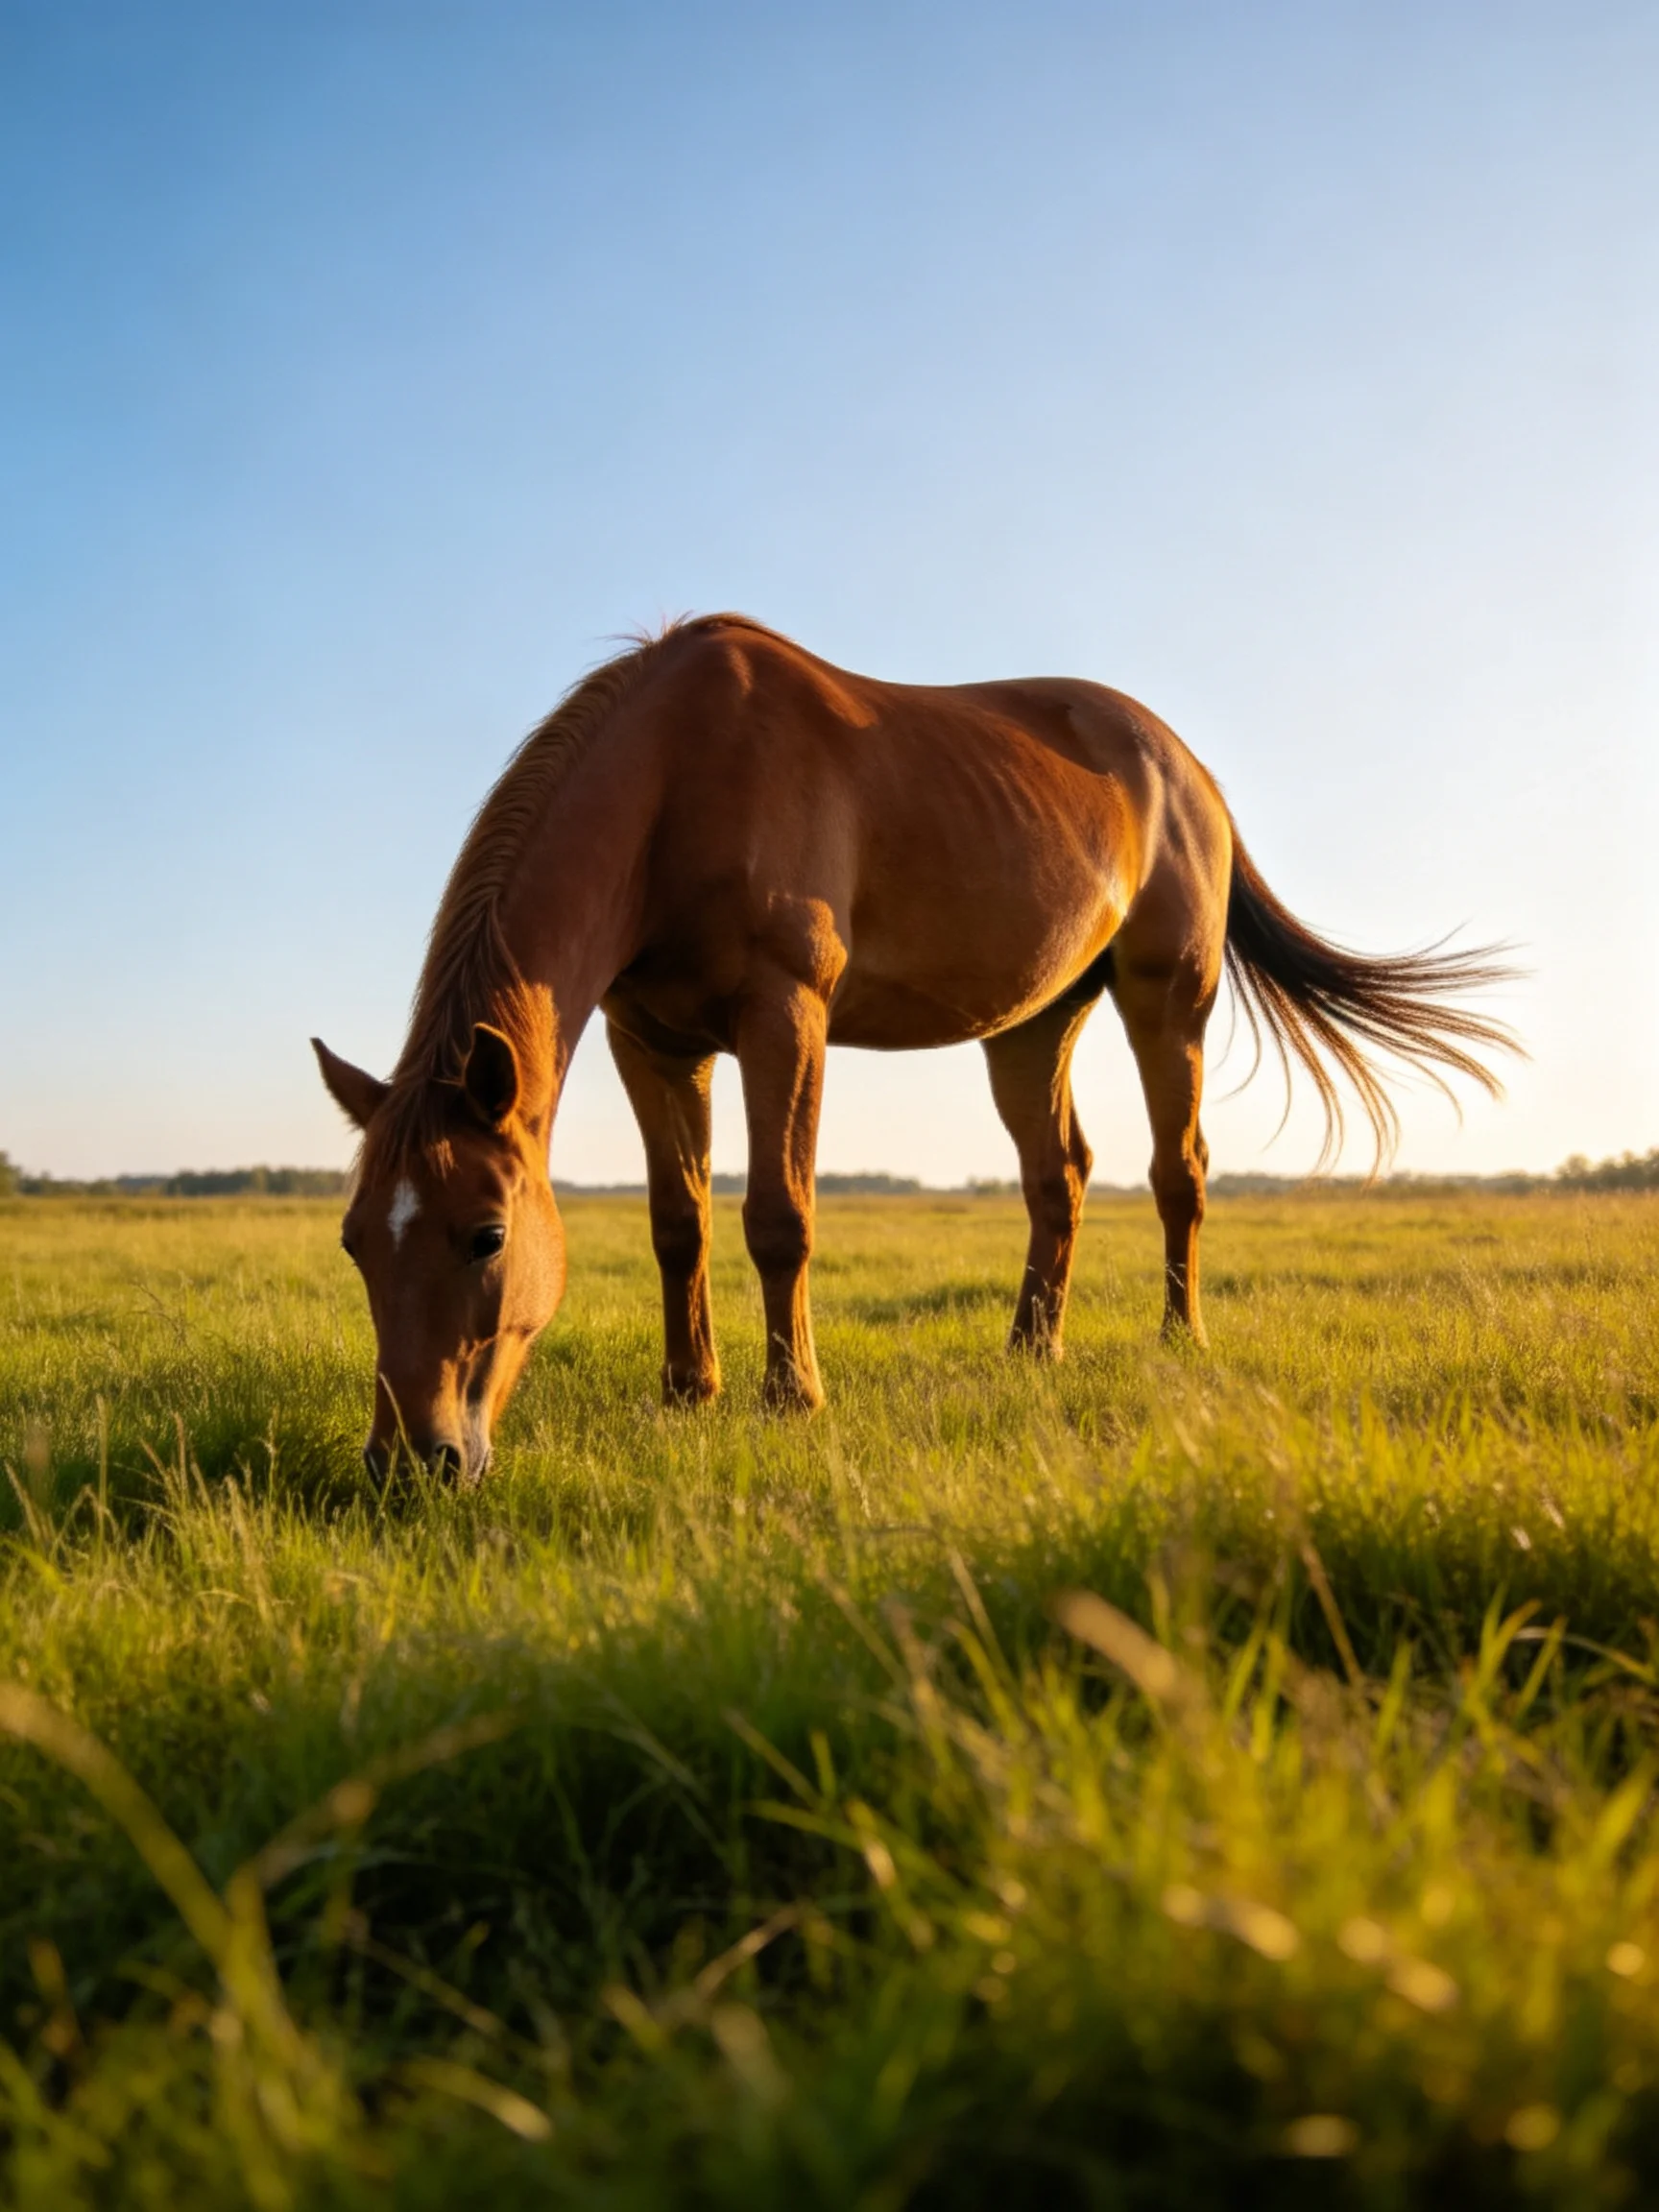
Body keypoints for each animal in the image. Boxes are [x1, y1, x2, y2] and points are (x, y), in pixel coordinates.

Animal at [313, 614, 1515, 1480]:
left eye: (484, 1236)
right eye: (355, 1242)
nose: (408, 1462)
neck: (680, 781)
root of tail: (1186, 768)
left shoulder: (785, 1014)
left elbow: (778, 1216)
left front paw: (792, 1399)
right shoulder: (651, 1041)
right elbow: (677, 1223)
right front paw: (688, 1392)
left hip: (1166, 999)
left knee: (1179, 1171)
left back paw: (1180, 1340)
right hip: (1034, 1025)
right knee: (1059, 1176)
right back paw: (1032, 1349)